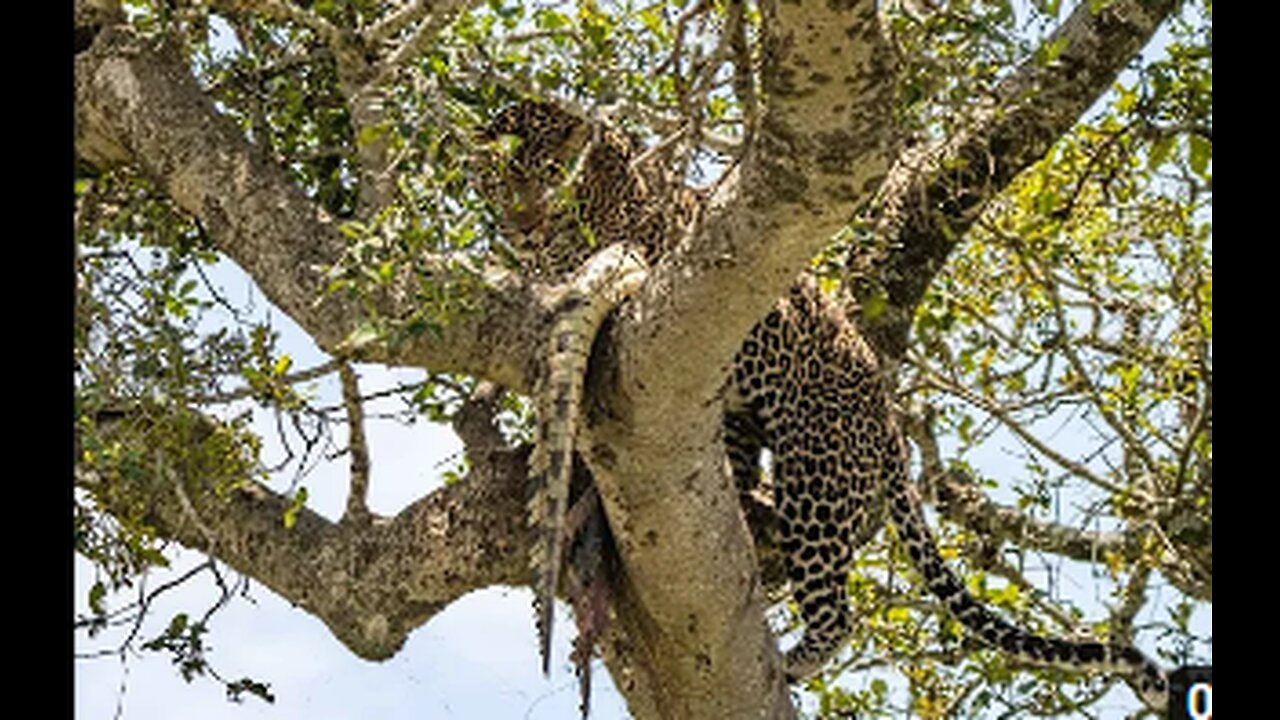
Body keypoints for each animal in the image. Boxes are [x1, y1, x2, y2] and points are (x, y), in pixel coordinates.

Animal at [473, 95, 1172, 707]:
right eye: (497, 179)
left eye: (548, 175)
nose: (520, 224)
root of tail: (885, 413)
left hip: (817, 473)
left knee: (838, 610)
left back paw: (795, 658)